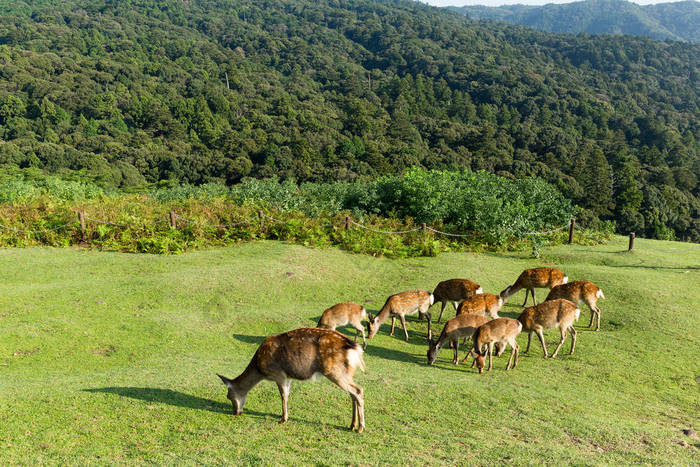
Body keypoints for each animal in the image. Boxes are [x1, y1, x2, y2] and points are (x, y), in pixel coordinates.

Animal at [216, 328, 366, 434]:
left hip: (334, 371)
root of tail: (356, 349)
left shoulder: (279, 374)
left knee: (358, 390)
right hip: (346, 373)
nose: (235, 412)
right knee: (353, 393)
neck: (259, 368)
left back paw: (360, 428)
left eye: (228, 396)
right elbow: (287, 395)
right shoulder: (288, 377)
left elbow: (283, 396)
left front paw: (283, 419)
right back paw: (352, 425)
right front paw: (284, 417)